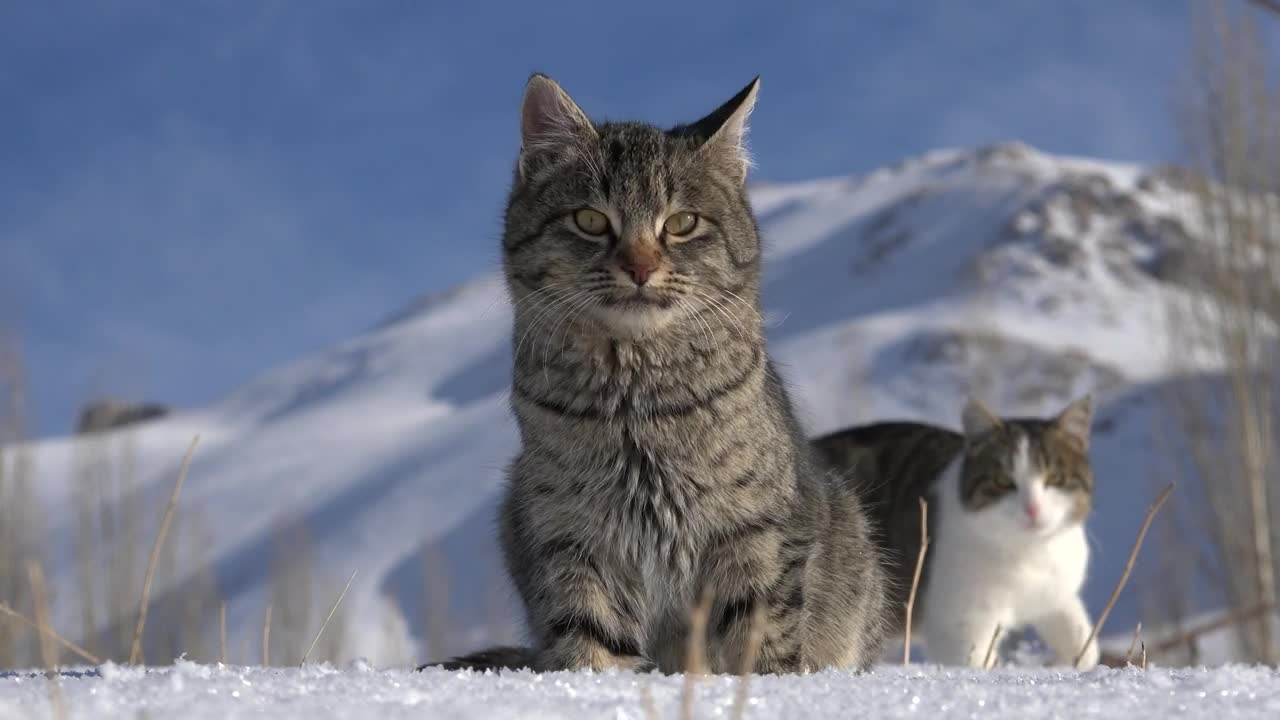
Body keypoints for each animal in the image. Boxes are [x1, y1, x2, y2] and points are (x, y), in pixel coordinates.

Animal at [422, 77, 890, 671]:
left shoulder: (754, 532)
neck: (636, 400)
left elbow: (761, 641)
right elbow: (590, 643)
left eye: (682, 223)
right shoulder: (572, 537)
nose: (640, 267)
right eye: (591, 220)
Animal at [808, 394, 1100, 666]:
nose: (1033, 509)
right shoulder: (961, 624)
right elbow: (976, 662)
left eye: (1055, 479)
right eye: (1003, 481)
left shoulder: (1053, 593)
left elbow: (1085, 646)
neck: (1028, 552)